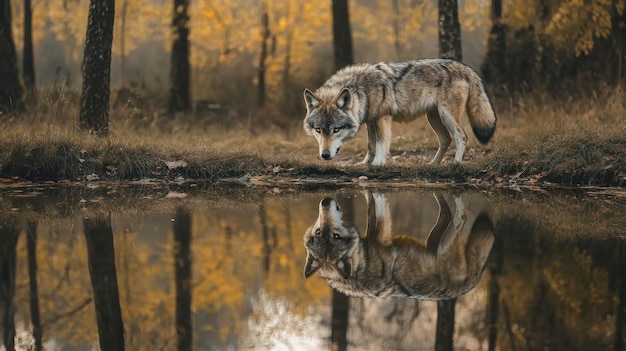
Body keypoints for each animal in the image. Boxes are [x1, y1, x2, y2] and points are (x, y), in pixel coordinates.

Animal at [300, 59, 494, 166]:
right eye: (318, 130)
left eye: (336, 130)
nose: (325, 155)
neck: (362, 89)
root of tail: (465, 67)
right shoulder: (371, 121)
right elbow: (370, 145)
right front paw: (365, 164)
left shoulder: (382, 118)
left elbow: (381, 142)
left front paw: (378, 163)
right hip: (434, 118)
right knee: (446, 140)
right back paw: (433, 164)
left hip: (447, 116)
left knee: (462, 136)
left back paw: (456, 163)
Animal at [302, 192, 492, 300]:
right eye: (320, 232)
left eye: (332, 235)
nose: (325, 202)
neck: (362, 263)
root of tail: (468, 286)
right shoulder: (382, 233)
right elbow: (379, 207)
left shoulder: (375, 232)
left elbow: (372, 205)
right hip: (443, 245)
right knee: (461, 217)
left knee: (451, 214)